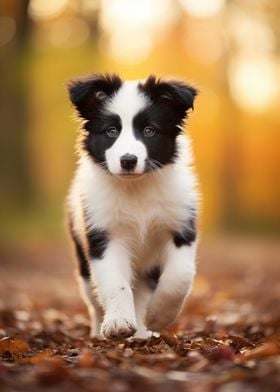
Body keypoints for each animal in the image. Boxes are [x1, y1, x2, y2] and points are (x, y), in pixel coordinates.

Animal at [67, 74, 199, 340]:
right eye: (111, 131)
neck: (136, 188)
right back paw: (99, 331)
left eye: (149, 131)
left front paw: (158, 316)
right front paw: (117, 323)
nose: (128, 160)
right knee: (93, 297)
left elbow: (180, 276)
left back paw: (141, 332)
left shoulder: (181, 226)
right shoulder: (104, 234)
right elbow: (115, 283)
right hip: (82, 257)